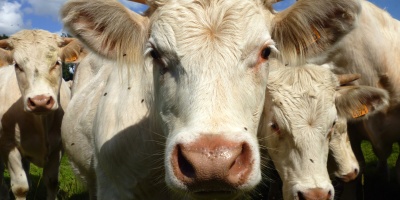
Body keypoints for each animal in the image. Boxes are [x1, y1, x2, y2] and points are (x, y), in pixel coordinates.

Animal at [0, 29, 83, 200]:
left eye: (57, 63)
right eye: (17, 65)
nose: (40, 101)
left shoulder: (58, 147)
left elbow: (51, 182)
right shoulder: (8, 145)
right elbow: (20, 187)